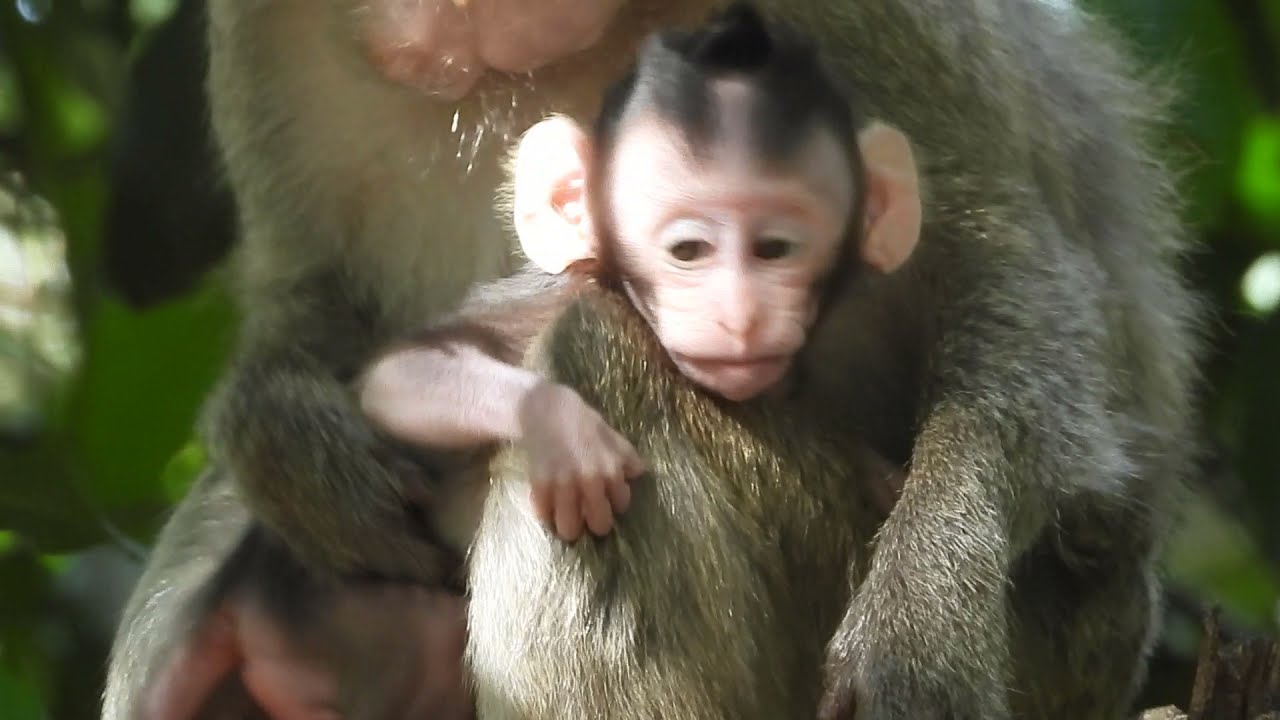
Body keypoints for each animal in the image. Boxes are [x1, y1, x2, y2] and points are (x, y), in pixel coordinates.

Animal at [105, 0, 1204, 719]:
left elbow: (1003, 255)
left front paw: (922, 615)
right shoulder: (255, 29)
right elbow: (312, 292)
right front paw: (288, 444)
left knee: (595, 361)